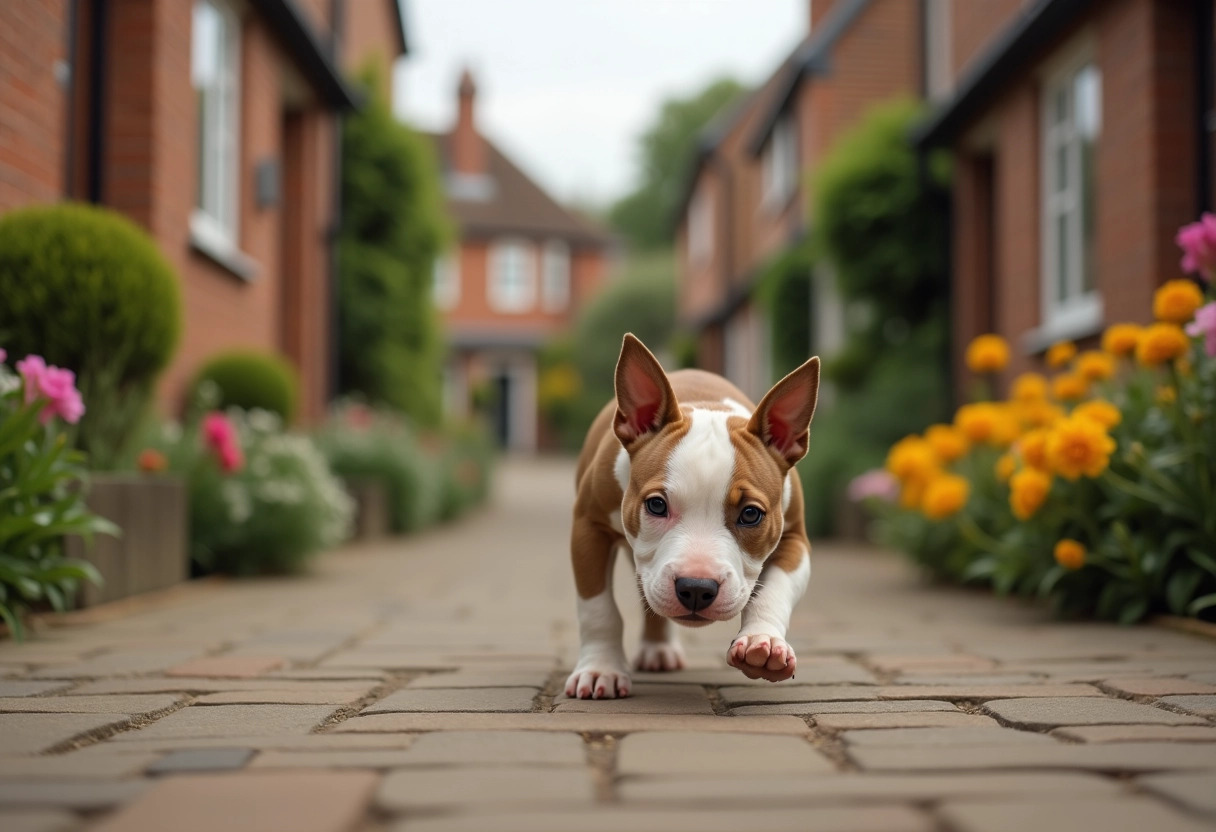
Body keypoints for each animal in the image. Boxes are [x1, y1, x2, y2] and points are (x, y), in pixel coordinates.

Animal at [566, 330, 817, 695]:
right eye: (657, 505)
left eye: (751, 514)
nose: (697, 588)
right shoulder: (588, 526)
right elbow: (598, 608)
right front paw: (601, 669)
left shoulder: (795, 539)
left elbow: (775, 589)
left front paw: (764, 642)